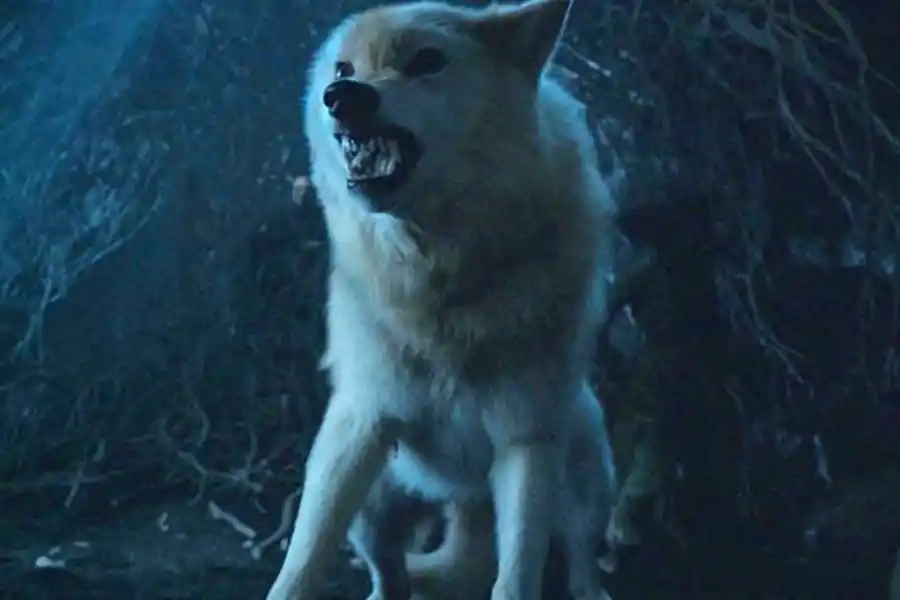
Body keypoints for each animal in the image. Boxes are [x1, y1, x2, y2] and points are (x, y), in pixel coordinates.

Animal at [264, 1, 619, 599]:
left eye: (427, 61)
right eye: (342, 69)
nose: (342, 97)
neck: (441, 279)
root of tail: (461, 495)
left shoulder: (525, 441)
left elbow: (516, 577)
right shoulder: (362, 420)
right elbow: (302, 563)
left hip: (581, 474)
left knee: (579, 564)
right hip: (370, 505)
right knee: (390, 578)